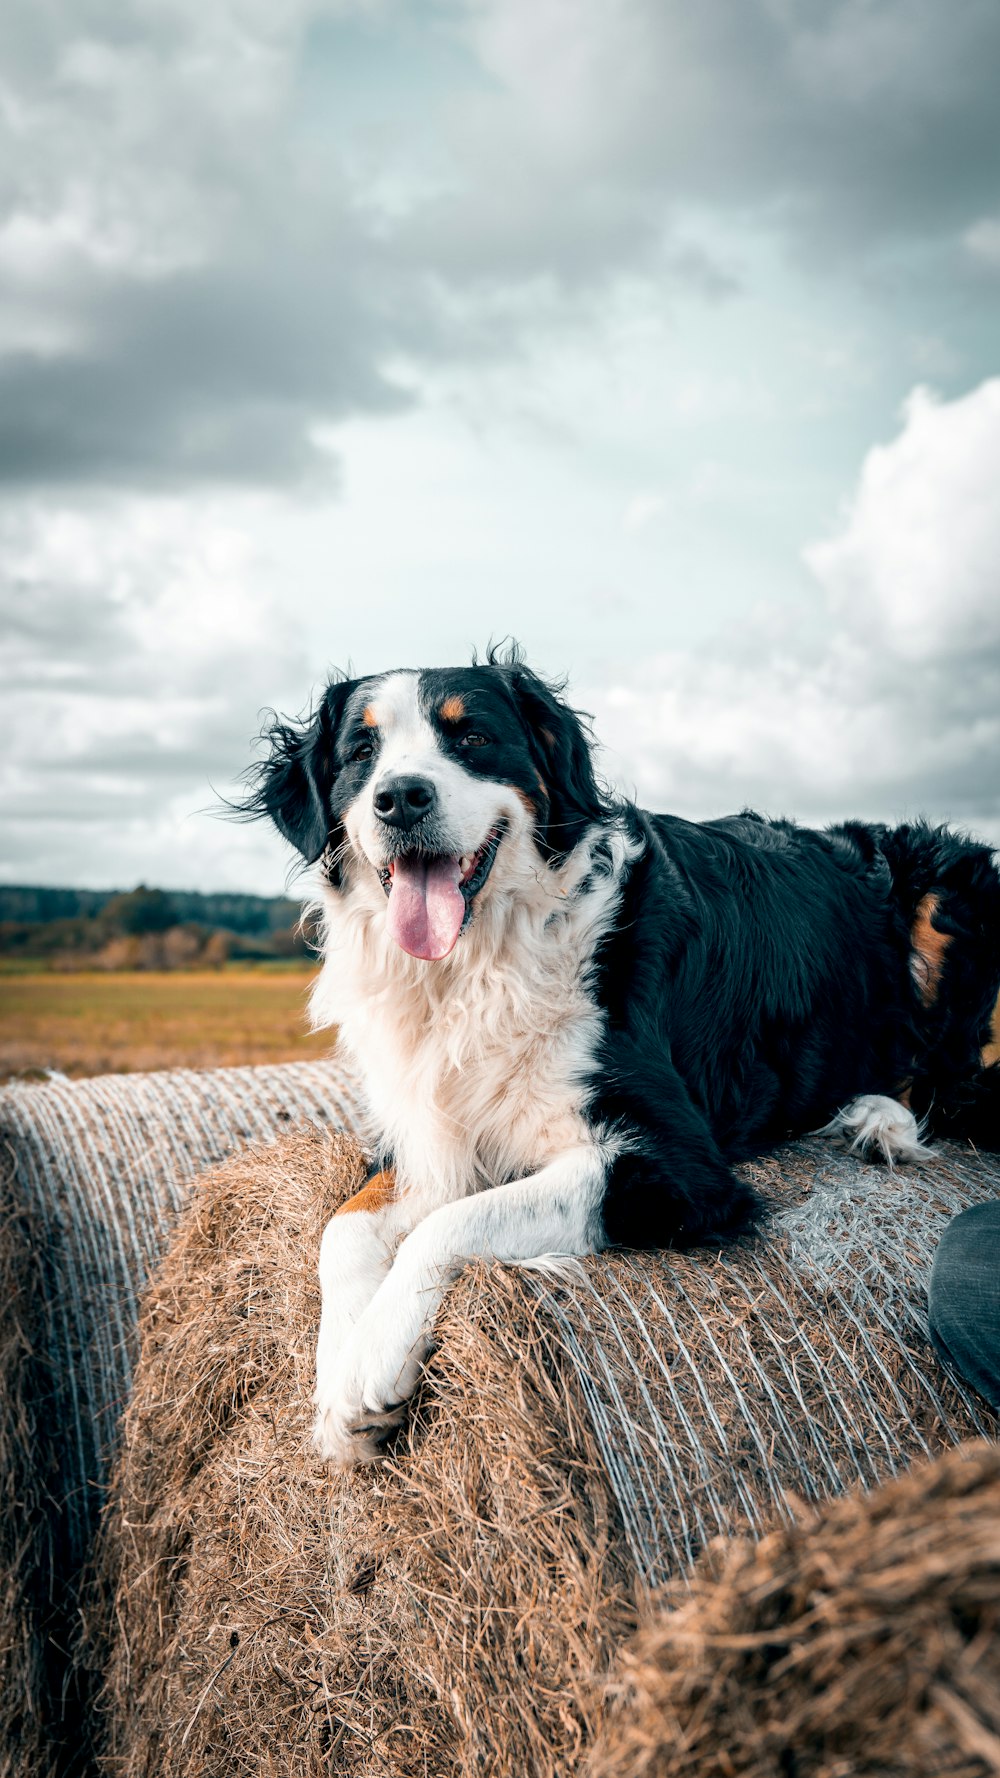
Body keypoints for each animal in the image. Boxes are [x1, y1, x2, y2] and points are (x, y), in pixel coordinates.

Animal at [240, 647, 996, 1465]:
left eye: (471, 737)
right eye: (360, 753)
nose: (400, 798)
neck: (477, 965)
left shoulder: (674, 1162)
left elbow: (454, 1223)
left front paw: (374, 1363)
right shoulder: (429, 1134)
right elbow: (341, 1227)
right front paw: (336, 1384)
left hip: (951, 890)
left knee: (947, 1080)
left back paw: (876, 1118)